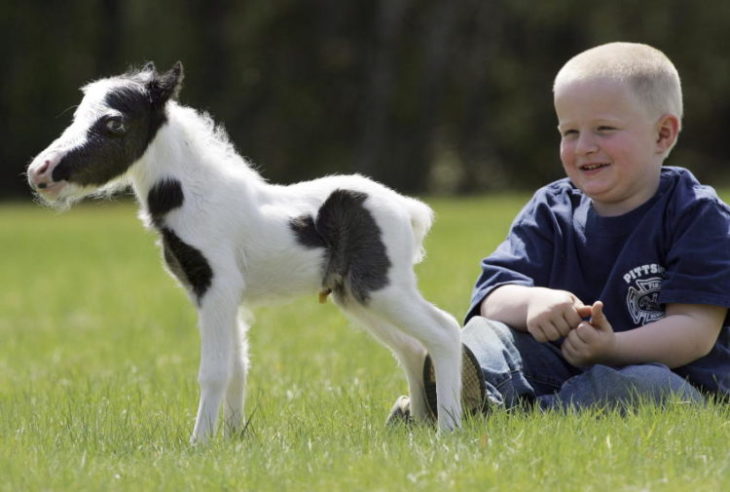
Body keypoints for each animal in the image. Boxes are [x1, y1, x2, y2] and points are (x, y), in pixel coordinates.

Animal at [28, 61, 464, 442]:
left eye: (114, 123)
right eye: (77, 115)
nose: (40, 172)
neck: (196, 195)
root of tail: (408, 208)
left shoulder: (217, 288)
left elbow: (215, 371)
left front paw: (199, 443)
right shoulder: (220, 295)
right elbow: (238, 368)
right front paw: (234, 438)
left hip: (382, 287)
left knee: (444, 331)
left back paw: (448, 430)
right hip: (354, 295)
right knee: (411, 347)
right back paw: (421, 424)